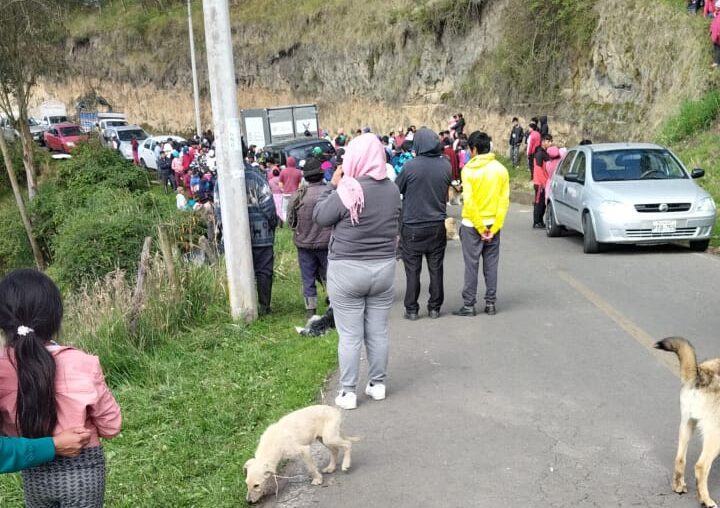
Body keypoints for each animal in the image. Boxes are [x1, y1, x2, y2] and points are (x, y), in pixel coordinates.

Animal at [656, 338, 720, 508]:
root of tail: (701, 374)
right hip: (715, 436)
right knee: (701, 467)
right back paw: (706, 500)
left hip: (686, 425)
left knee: (680, 459)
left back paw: (678, 486)